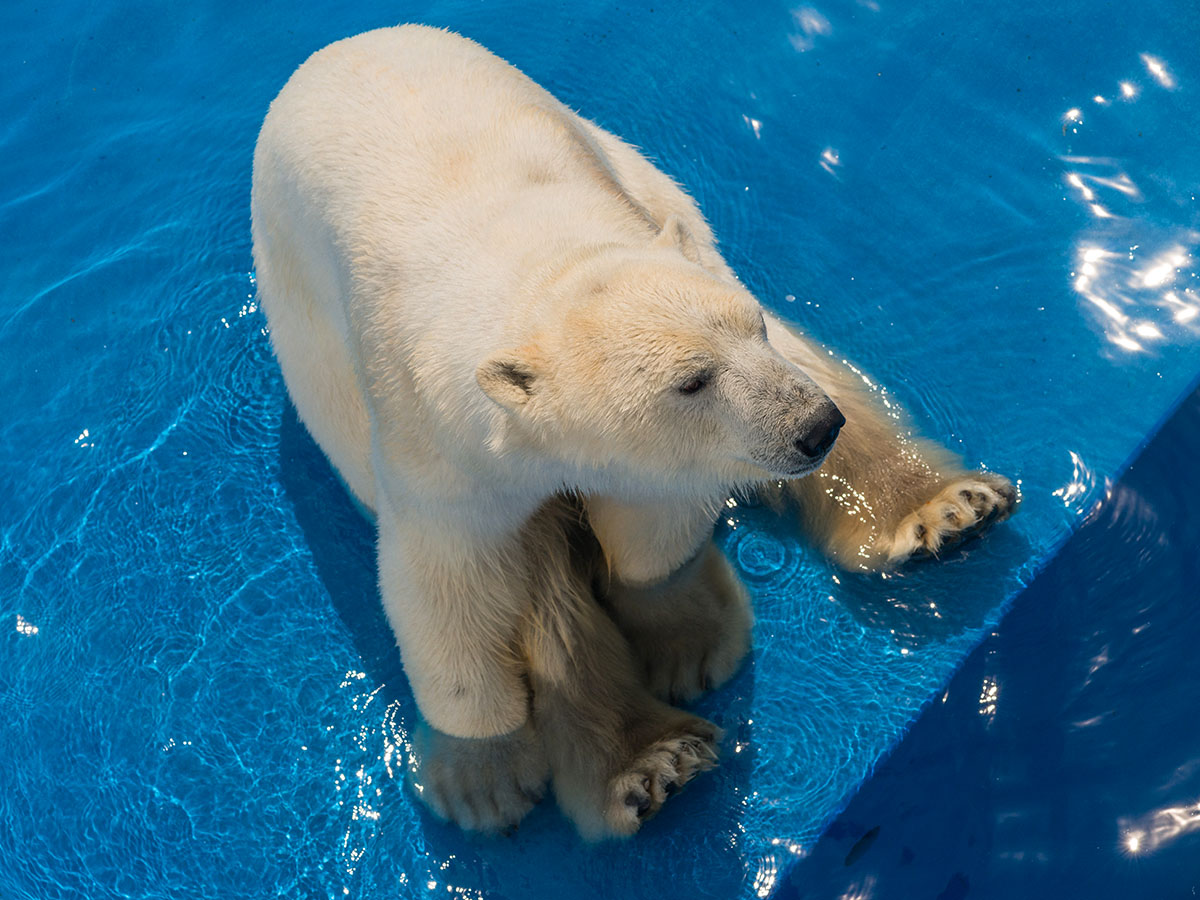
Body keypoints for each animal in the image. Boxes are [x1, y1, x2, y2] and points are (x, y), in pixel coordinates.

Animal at [250, 28, 1012, 844]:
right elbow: (450, 584)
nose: (814, 430)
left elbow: (650, 525)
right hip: (313, 347)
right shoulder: (432, 438)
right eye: (691, 381)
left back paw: (940, 510)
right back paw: (648, 766)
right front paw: (484, 777)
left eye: (750, 330)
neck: (531, 274)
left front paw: (686, 640)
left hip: (648, 181)